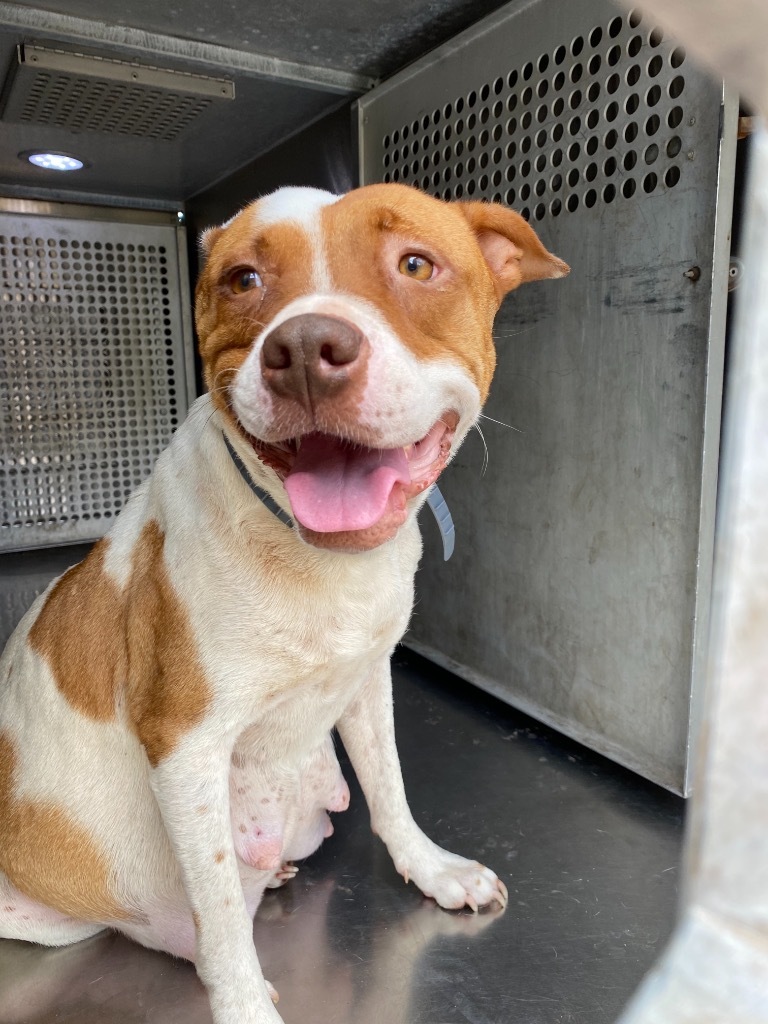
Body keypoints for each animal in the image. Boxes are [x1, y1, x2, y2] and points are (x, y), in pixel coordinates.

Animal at [0, 186, 565, 1024]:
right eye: (243, 280)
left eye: (416, 265)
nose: (304, 348)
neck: (318, 563)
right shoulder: (186, 747)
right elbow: (222, 921)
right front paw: (244, 1004)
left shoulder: (366, 678)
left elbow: (391, 790)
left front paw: (431, 869)